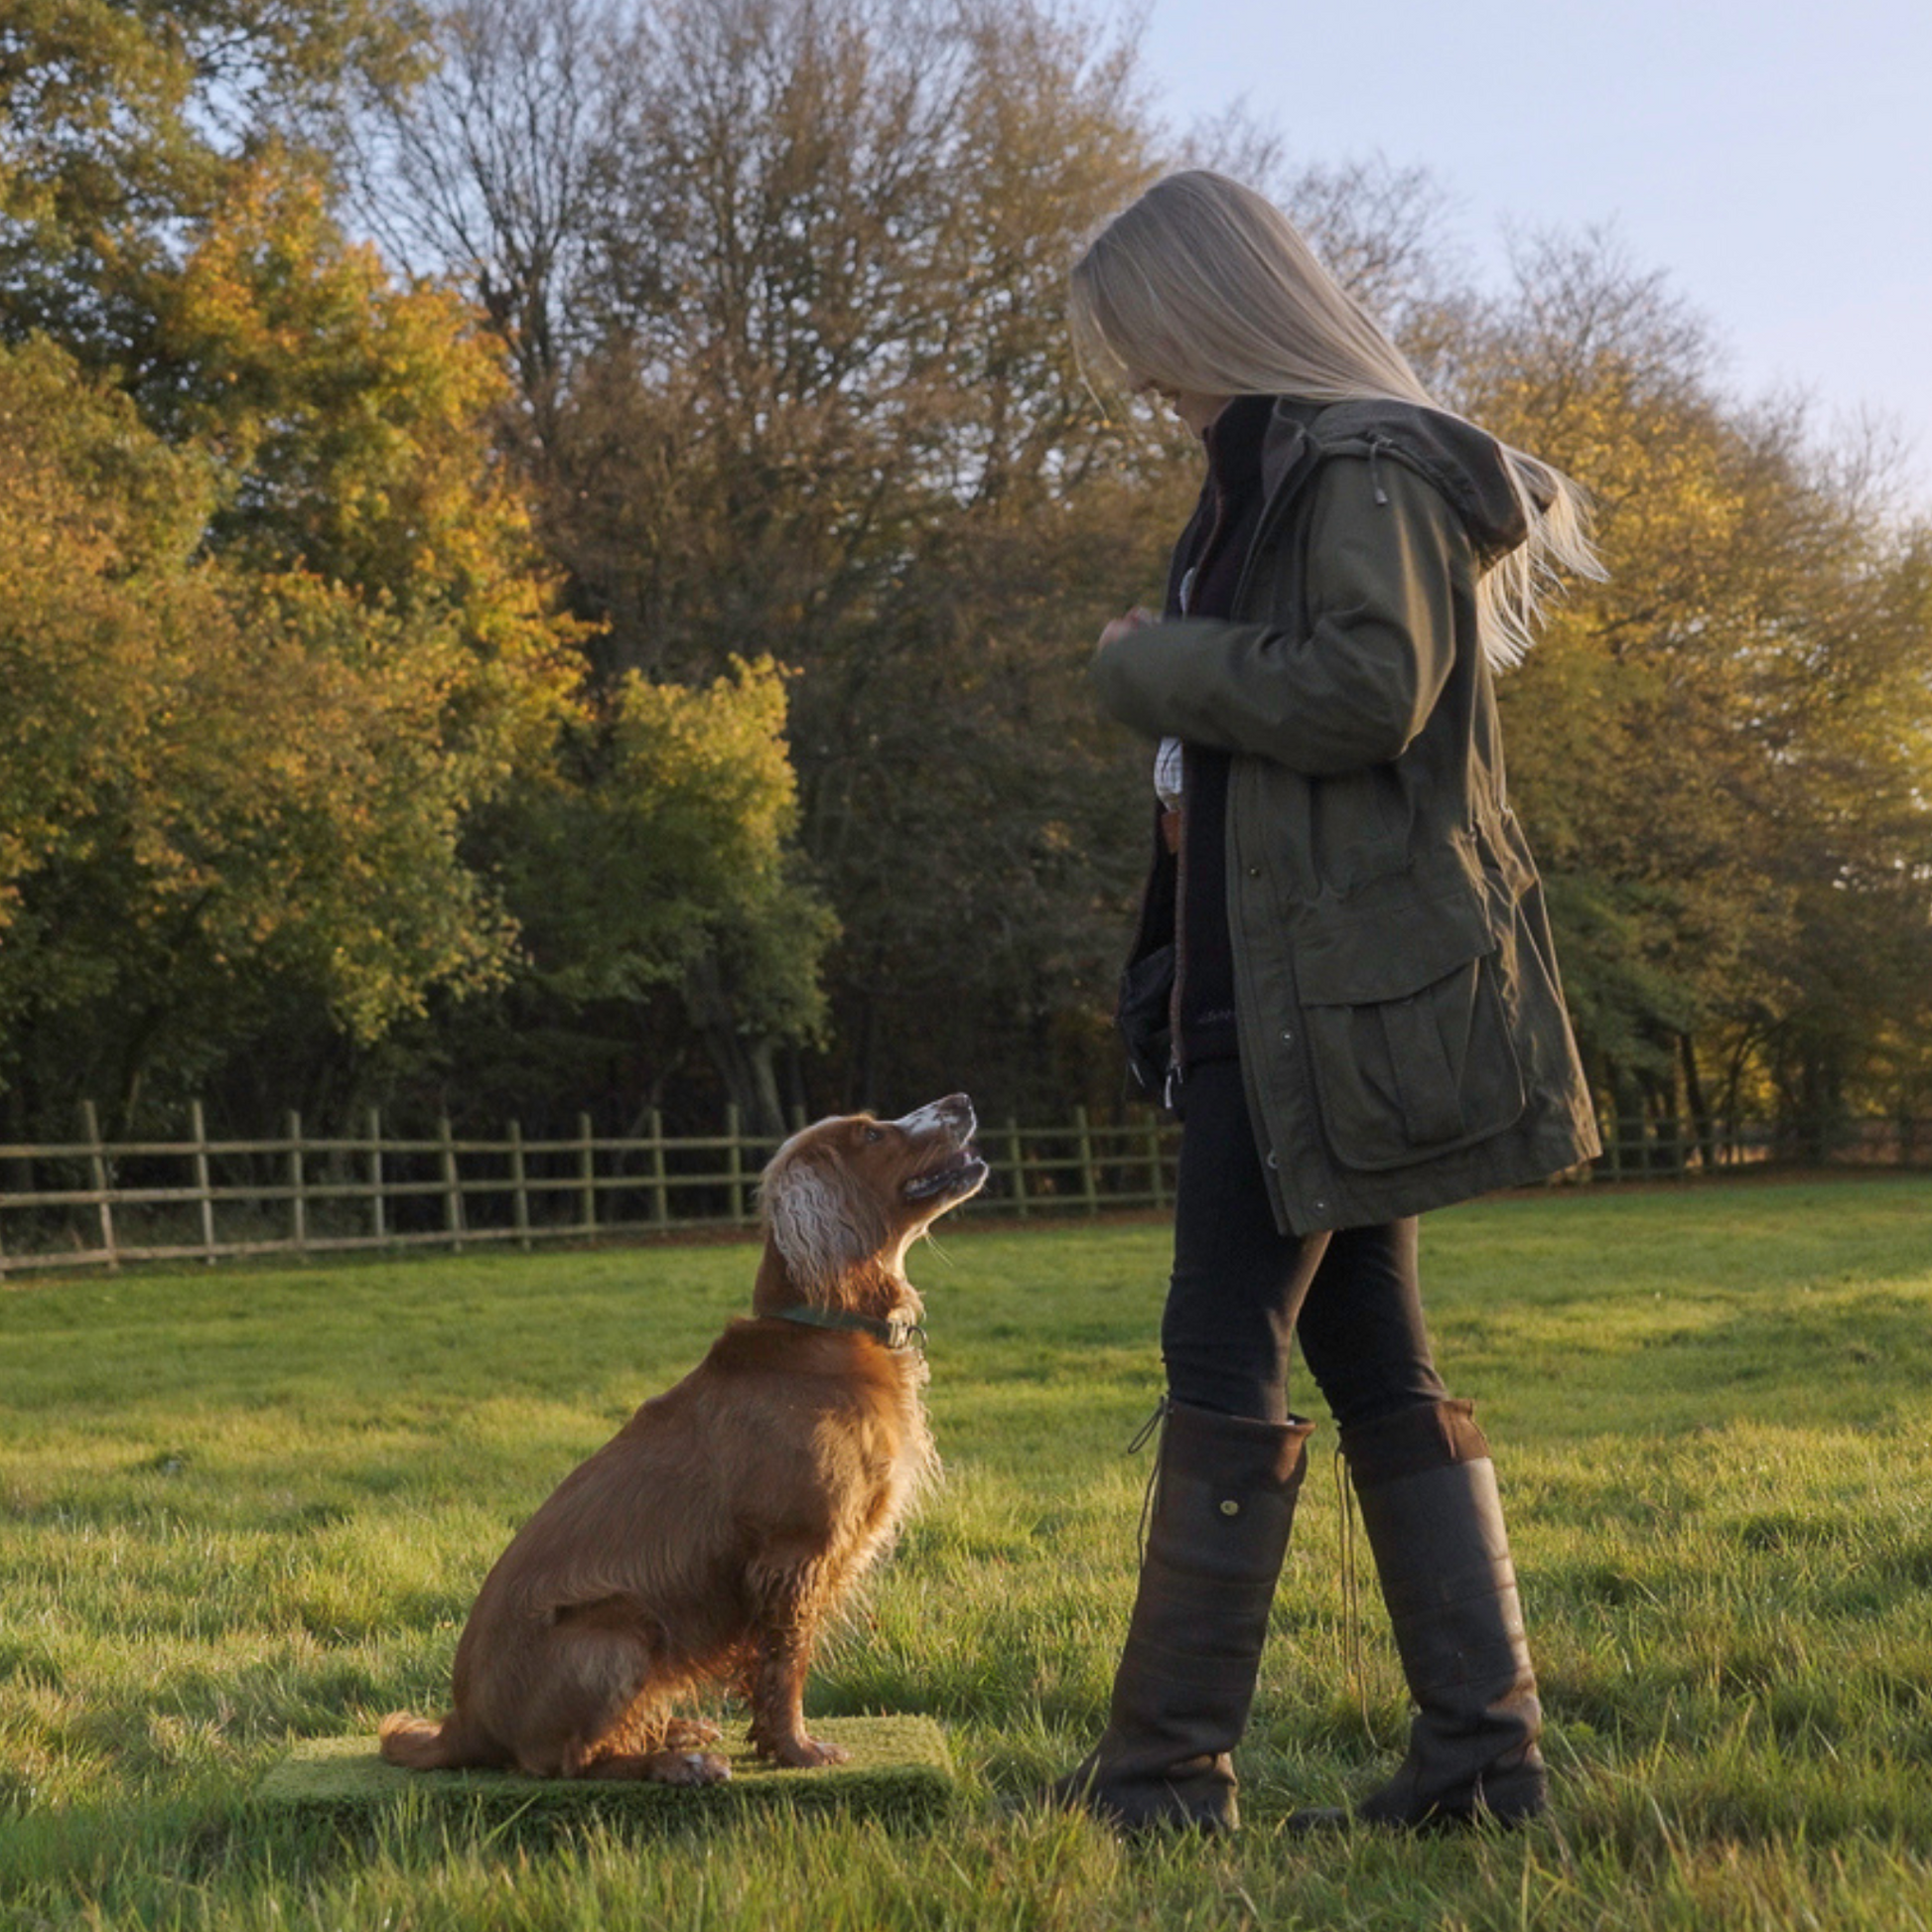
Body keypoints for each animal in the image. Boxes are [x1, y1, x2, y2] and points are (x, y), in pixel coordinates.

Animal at [378, 1097, 989, 1785]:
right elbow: (784, 1669)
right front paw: (798, 1750)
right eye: (870, 1134)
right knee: (568, 1761)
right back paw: (678, 1761)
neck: (826, 1329)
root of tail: (463, 1724)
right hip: (620, 1625)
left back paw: (674, 1730)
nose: (962, 1101)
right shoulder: (791, 1557)